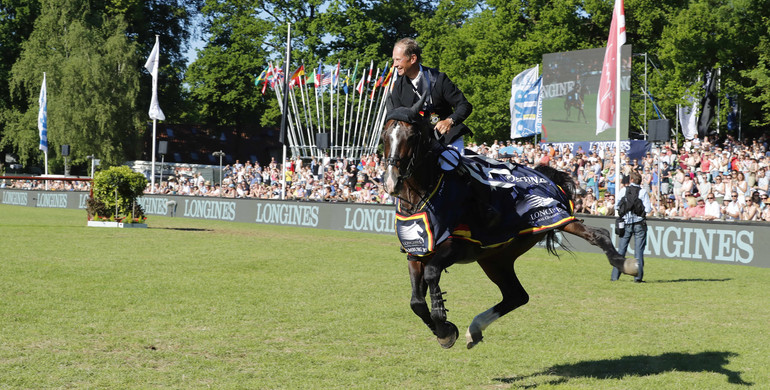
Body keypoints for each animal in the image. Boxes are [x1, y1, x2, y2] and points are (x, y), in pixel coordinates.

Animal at [378, 106, 636, 350]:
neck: (424, 195)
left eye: (412, 136)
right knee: (516, 295)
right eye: (384, 136)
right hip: (496, 257)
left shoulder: (456, 246)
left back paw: (625, 263)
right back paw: (475, 329)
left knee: (598, 234)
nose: (391, 181)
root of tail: (544, 175)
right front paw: (443, 331)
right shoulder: (416, 252)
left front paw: (442, 322)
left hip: (556, 217)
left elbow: (432, 274)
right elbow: (416, 302)